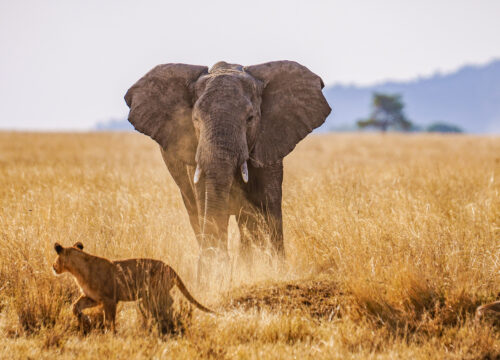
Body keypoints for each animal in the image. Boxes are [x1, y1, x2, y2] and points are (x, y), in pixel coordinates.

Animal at [123, 61, 330, 282]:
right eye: (195, 120)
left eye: (250, 118)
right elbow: (205, 200)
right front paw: (213, 276)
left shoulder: (269, 145)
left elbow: (268, 203)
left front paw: (274, 271)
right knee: (196, 213)